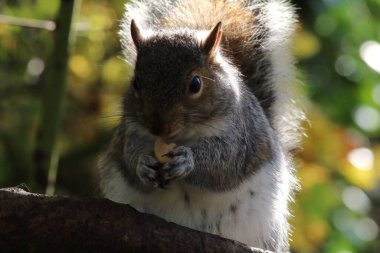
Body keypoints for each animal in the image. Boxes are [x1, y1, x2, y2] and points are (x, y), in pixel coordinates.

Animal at [97, 0, 302, 251]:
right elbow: (129, 157)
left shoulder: (241, 136)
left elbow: (224, 164)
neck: (182, 137)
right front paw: (143, 165)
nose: (158, 127)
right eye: (135, 83)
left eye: (196, 84)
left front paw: (188, 160)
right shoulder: (131, 132)